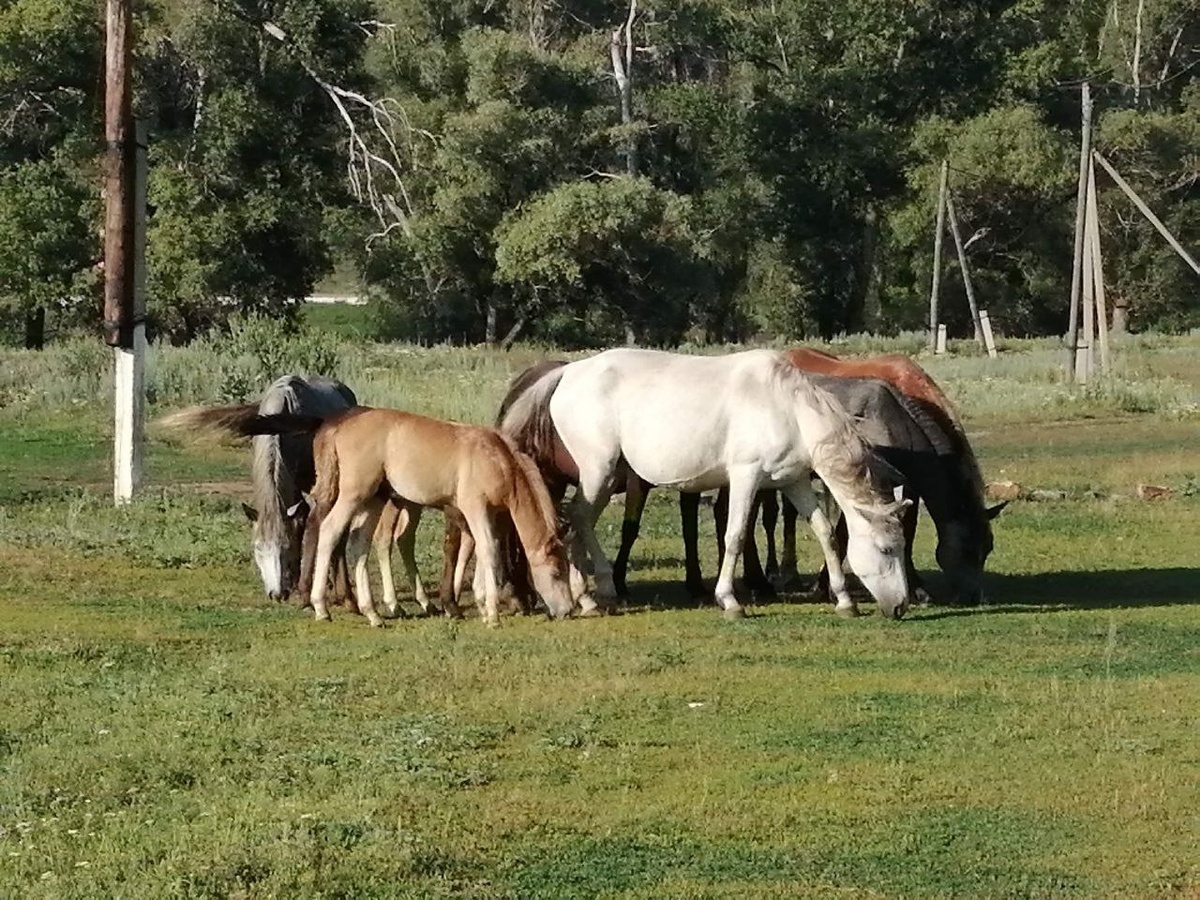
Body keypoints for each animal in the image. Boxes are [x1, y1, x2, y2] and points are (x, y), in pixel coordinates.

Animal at [234, 407, 577, 628]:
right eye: (557, 571)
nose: (567, 610)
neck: (498, 459)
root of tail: (336, 426)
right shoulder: (473, 507)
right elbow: (488, 549)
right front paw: (490, 614)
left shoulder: (488, 514)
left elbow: (481, 550)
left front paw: (480, 604)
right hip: (354, 493)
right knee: (330, 530)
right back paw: (322, 607)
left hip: (375, 499)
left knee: (360, 543)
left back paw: (372, 613)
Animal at [500, 348, 913, 619]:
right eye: (887, 549)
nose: (900, 606)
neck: (785, 406)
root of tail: (568, 372)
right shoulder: (746, 476)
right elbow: (735, 535)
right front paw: (729, 601)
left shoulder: (793, 481)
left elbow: (825, 532)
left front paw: (844, 600)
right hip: (599, 471)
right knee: (578, 519)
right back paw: (592, 594)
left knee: (578, 521)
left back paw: (592, 595)